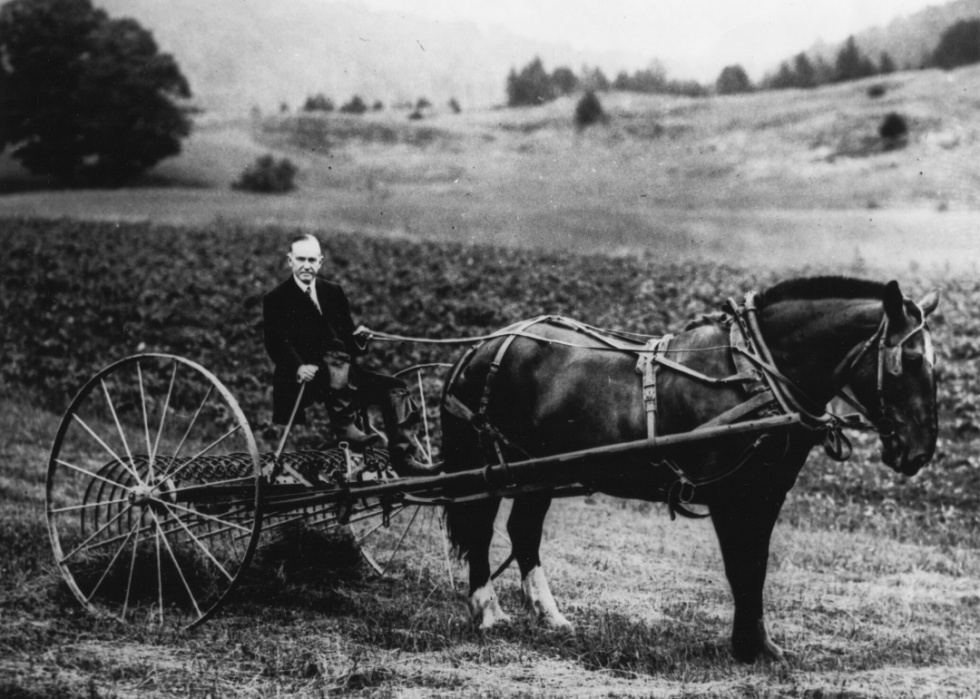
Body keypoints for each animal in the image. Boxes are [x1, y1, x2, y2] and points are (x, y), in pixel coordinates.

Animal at [440, 278, 936, 660]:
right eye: (910, 360)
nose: (920, 451)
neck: (755, 373)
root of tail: (482, 347)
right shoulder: (733, 494)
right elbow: (743, 567)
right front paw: (748, 648)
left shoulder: (766, 493)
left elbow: (755, 565)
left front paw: (760, 646)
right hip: (490, 467)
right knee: (481, 529)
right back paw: (487, 611)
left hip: (537, 471)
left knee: (523, 531)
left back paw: (549, 615)